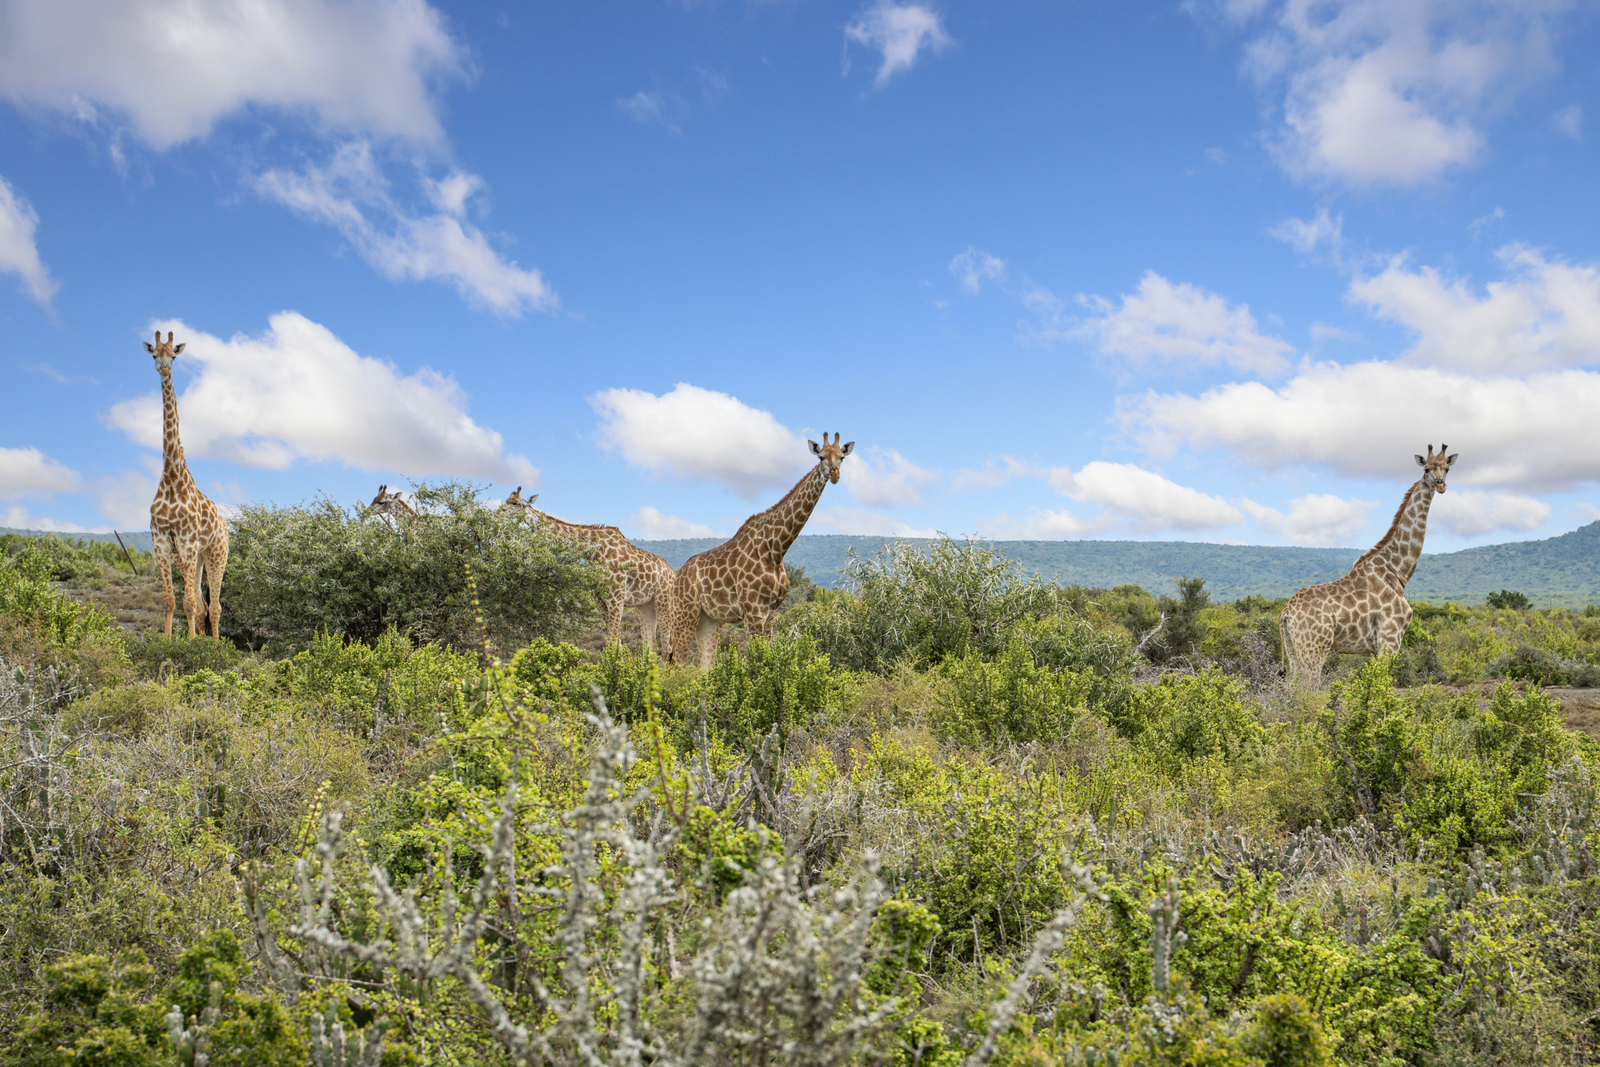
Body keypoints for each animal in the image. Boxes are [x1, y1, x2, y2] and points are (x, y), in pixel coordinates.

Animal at [145, 330, 230, 639]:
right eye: (154, 354)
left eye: (174, 355)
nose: (163, 368)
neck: (171, 477)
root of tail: (225, 525)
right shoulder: (161, 541)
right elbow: (171, 600)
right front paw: (169, 641)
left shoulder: (188, 541)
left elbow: (189, 603)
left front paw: (191, 644)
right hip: (196, 557)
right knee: (204, 604)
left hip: (216, 553)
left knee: (214, 606)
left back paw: (215, 645)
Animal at [499, 487, 677, 654]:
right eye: (507, 500)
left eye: (516, 503)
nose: (499, 512)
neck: (593, 550)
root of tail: (674, 574)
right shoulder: (601, 601)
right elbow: (615, 645)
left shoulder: (617, 600)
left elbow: (613, 643)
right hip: (645, 605)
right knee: (651, 647)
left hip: (663, 602)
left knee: (667, 646)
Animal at [669, 433, 853, 669]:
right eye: (820, 456)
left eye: (842, 457)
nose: (835, 474)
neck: (776, 549)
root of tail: (677, 577)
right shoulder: (753, 612)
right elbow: (755, 663)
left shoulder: (772, 613)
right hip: (685, 614)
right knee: (676, 665)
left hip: (709, 620)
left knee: (703, 668)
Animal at [1279, 445, 1458, 688]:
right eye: (1427, 469)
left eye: (1447, 468)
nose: (1440, 485)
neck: (1397, 571)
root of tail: (1286, 612)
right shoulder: (1390, 639)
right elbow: (1383, 686)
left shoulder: (1376, 648)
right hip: (1315, 647)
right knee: (1308, 688)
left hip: (1293, 650)